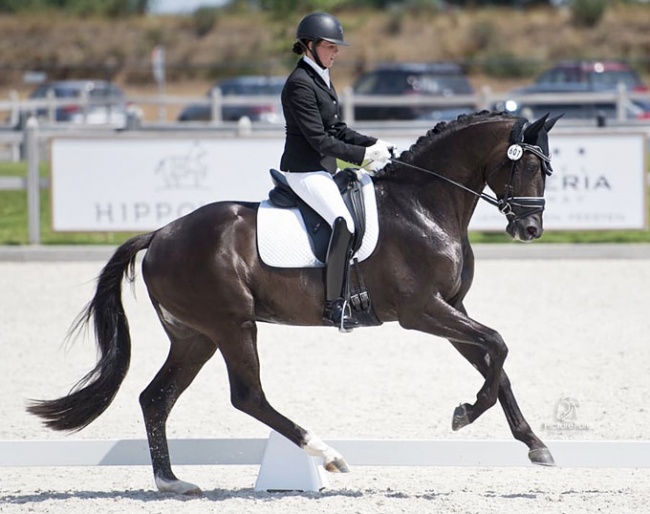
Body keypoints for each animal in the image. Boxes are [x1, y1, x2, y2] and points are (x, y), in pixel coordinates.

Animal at [29, 111, 556, 492]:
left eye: (546, 170)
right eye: (529, 166)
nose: (529, 230)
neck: (423, 204)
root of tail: (160, 234)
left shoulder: (451, 308)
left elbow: (497, 364)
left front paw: (534, 444)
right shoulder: (421, 311)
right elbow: (499, 345)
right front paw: (466, 412)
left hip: (195, 336)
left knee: (155, 398)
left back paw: (172, 482)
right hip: (232, 326)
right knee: (247, 396)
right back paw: (326, 455)